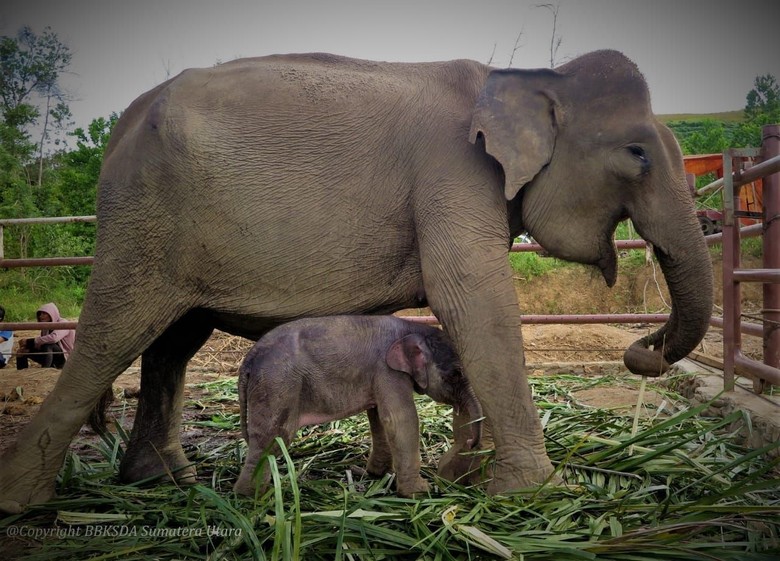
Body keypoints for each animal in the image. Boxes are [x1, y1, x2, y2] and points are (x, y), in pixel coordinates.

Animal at [235, 312, 484, 496]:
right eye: (455, 374)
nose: (471, 442)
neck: (410, 328)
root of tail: (250, 358)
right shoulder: (388, 371)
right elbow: (400, 418)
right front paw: (420, 492)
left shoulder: (378, 375)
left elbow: (379, 417)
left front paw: (378, 473)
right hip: (277, 385)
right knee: (272, 440)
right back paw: (251, 496)